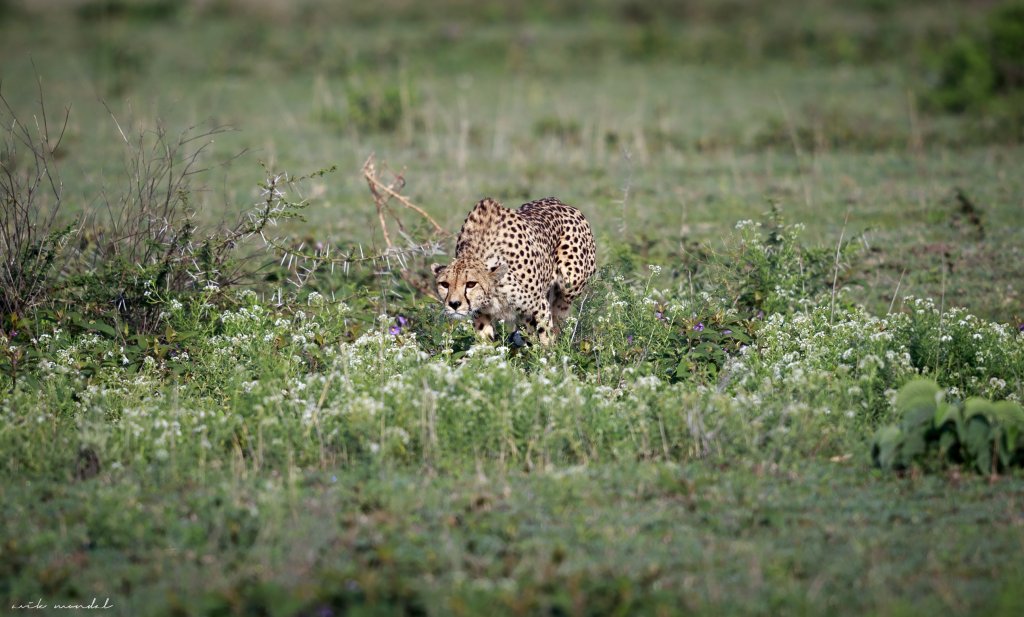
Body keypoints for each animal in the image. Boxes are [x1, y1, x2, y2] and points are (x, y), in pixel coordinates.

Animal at [430, 196, 598, 345]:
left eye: (471, 284)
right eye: (444, 284)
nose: (454, 304)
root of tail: (557, 201)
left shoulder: (539, 306)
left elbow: (545, 337)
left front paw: (548, 358)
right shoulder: (481, 313)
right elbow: (486, 343)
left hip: (570, 284)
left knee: (559, 314)